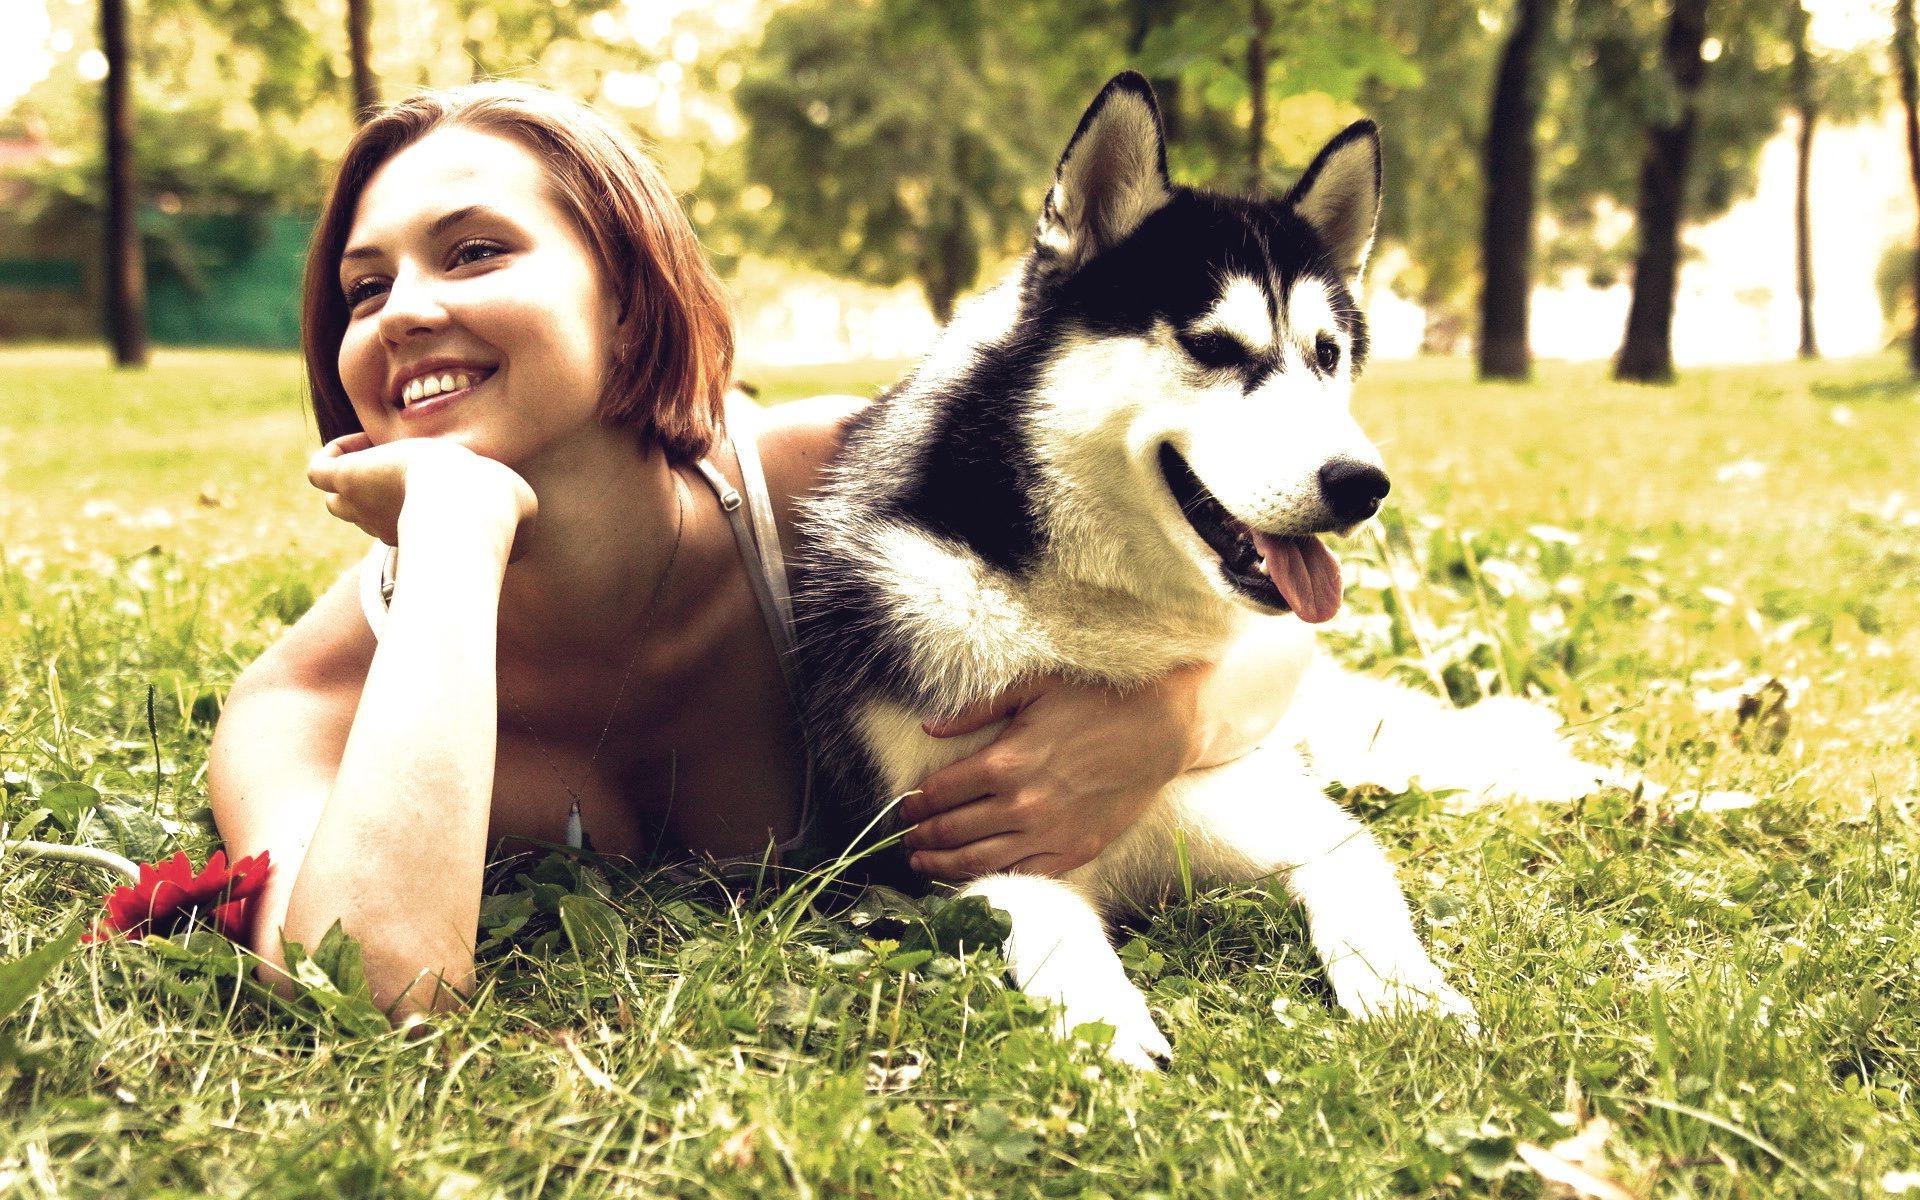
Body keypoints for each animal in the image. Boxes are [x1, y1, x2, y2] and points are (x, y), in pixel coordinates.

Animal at [787, 72, 1597, 1067]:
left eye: (1328, 355)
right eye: (1213, 346)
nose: (1363, 484)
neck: (1088, 619)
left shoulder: (1295, 822)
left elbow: (1363, 889)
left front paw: (1408, 998)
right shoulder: (946, 855)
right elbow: (1046, 921)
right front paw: (1106, 1024)